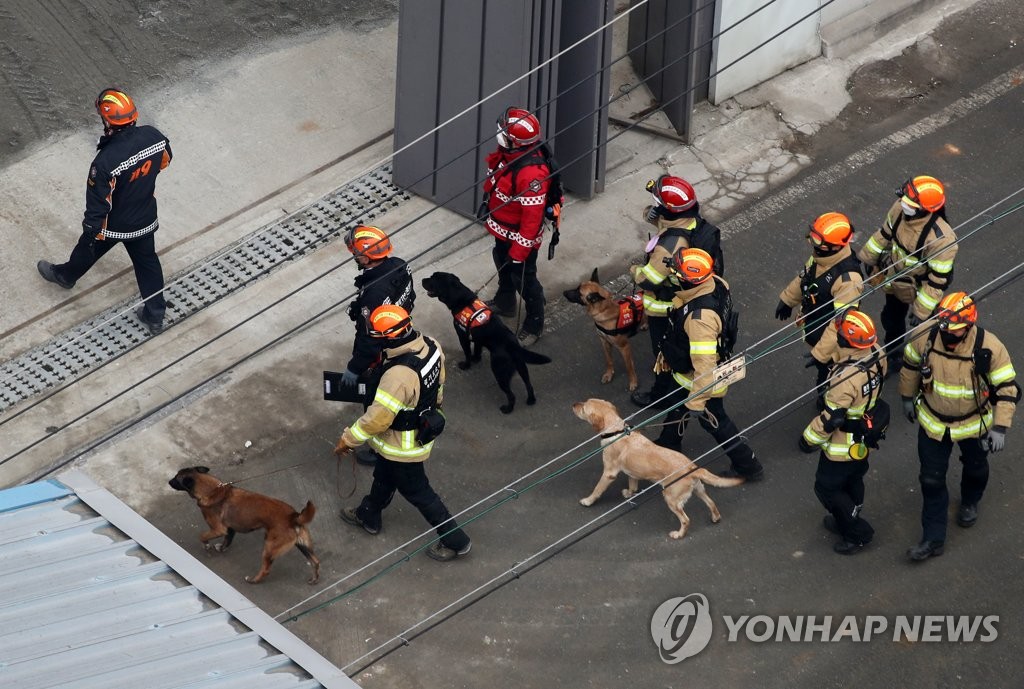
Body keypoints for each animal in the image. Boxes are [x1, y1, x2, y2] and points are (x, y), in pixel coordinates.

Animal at [168, 464, 319, 581]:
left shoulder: (218, 529)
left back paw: (253, 580)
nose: (169, 481)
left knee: (265, 570)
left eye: (176, 478)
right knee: (315, 562)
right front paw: (221, 548)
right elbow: (227, 540)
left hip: (269, 547)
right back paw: (314, 579)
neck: (211, 490)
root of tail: (293, 517)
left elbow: (202, 536)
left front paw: (207, 545)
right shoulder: (229, 529)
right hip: (303, 545)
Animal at [421, 272, 552, 413]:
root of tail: (514, 346)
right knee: (529, 384)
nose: (422, 279)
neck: (462, 300)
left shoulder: (463, 337)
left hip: (499, 372)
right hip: (522, 367)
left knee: (511, 395)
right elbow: (477, 350)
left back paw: (508, 409)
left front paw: (466, 365)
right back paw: (531, 400)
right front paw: (476, 359)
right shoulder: (478, 339)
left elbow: (467, 353)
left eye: (433, 279)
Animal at [569, 397, 745, 536]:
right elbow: (632, 485)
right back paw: (715, 517)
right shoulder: (632, 473)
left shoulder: (609, 473)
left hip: (671, 498)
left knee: (686, 520)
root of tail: (692, 468)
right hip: (698, 490)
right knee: (711, 503)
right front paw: (629, 493)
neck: (617, 431)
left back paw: (678, 534)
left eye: (583, 408)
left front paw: (588, 501)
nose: (573, 404)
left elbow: (597, 489)